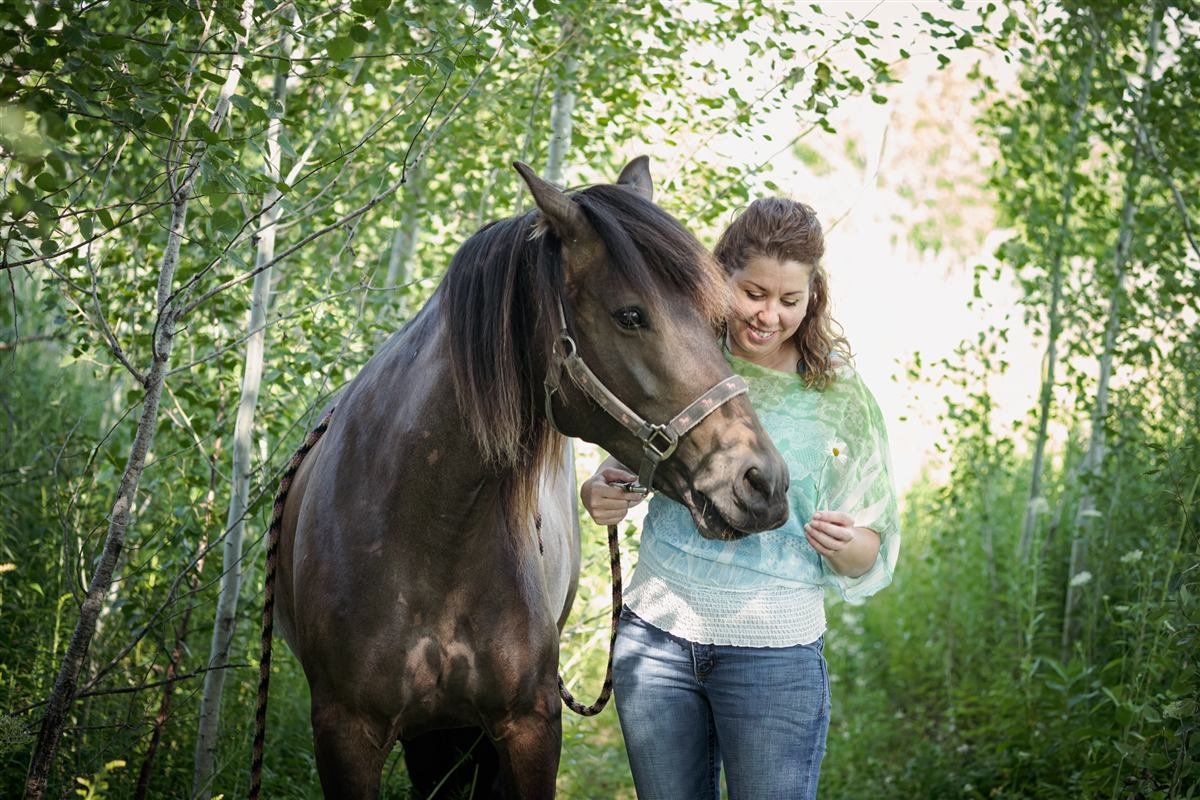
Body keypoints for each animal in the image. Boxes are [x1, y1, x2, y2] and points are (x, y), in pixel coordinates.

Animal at [258, 157, 790, 799]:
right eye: (630, 316)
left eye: (716, 321)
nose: (763, 483)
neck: (427, 531)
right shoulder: (345, 733)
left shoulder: (530, 725)